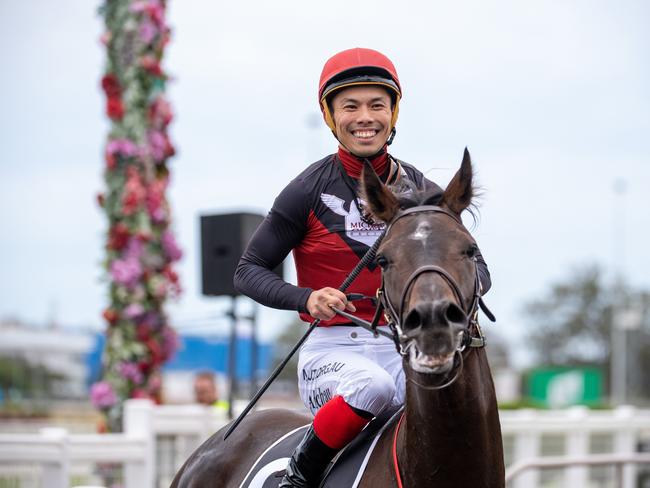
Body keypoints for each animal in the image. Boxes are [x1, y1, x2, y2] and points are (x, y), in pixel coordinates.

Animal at [170, 150, 504, 488]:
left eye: (470, 249)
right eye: (383, 259)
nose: (433, 322)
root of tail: (206, 449)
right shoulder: (294, 197)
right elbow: (250, 265)